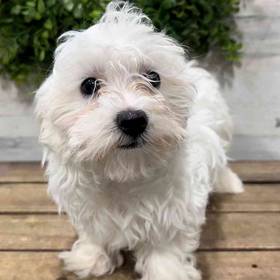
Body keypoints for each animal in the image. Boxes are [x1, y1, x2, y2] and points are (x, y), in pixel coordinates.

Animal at [35, 1, 242, 278]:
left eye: (154, 78)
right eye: (89, 85)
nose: (133, 119)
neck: (125, 171)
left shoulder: (173, 207)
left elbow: (165, 245)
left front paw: (167, 271)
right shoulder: (87, 204)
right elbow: (94, 232)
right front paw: (90, 258)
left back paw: (229, 183)